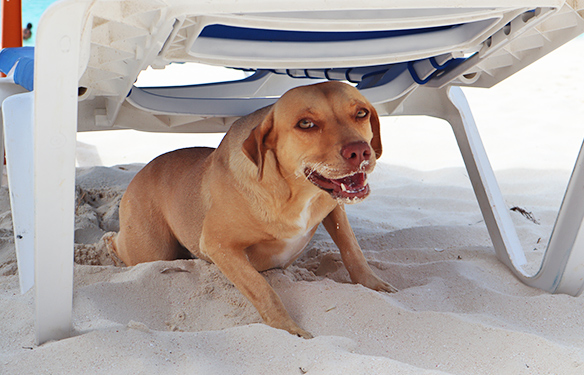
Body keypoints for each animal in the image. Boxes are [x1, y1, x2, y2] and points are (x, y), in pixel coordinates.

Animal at [108, 81, 396, 340]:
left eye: (361, 113)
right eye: (306, 124)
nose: (360, 151)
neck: (295, 193)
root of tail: (143, 170)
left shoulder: (334, 207)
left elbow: (352, 249)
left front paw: (374, 285)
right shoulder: (219, 244)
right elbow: (262, 289)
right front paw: (288, 328)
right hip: (151, 250)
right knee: (122, 244)